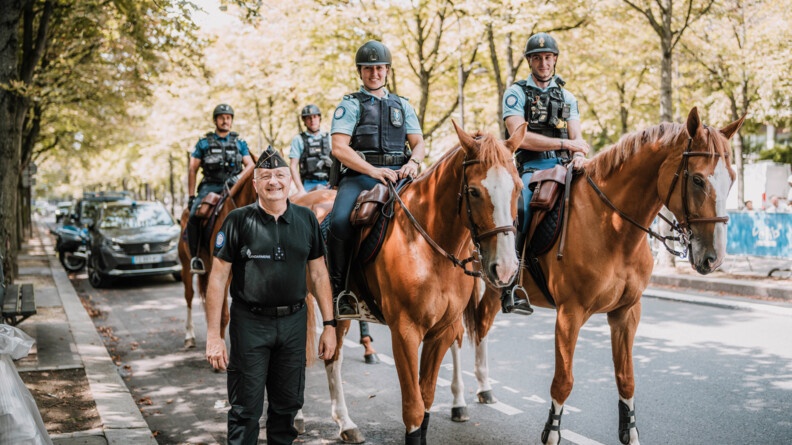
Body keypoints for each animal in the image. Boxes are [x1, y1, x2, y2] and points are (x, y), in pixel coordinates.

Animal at [294, 119, 524, 442]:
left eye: (518, 188)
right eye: (474, 191)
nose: (505, 268)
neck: (430, 246)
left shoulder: (442, 330)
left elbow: (426, 398)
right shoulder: (405, 332)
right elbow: (413, 408)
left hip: (339, 314)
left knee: (333, 357)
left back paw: (345, 424)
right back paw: (298, 417)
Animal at [452, 108, 744, 444]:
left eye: (732, 178)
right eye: (697, 179)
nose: (714, 257)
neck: (614, 227)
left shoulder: (626, 313)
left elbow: (626, 379)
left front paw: (630, 432)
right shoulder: (570, 314)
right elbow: (563, 381)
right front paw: (552, 432)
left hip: (493, 286)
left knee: (482, 325)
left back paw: (485, 387)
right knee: (460, 334)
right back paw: (461, 399)